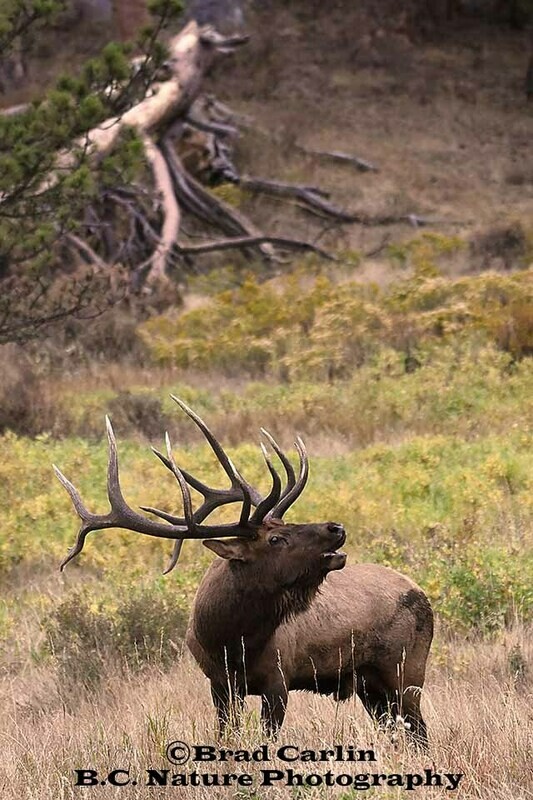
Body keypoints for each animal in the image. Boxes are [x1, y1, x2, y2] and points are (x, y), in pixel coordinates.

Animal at [55, 396, 433, 746]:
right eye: (276, 537)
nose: (336, 528)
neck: (230, 641)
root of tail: (424, 595)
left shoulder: (278, 680)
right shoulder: (219, 685)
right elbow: (226, 735)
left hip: (406, 670)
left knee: (421, 733)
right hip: (369, 684)